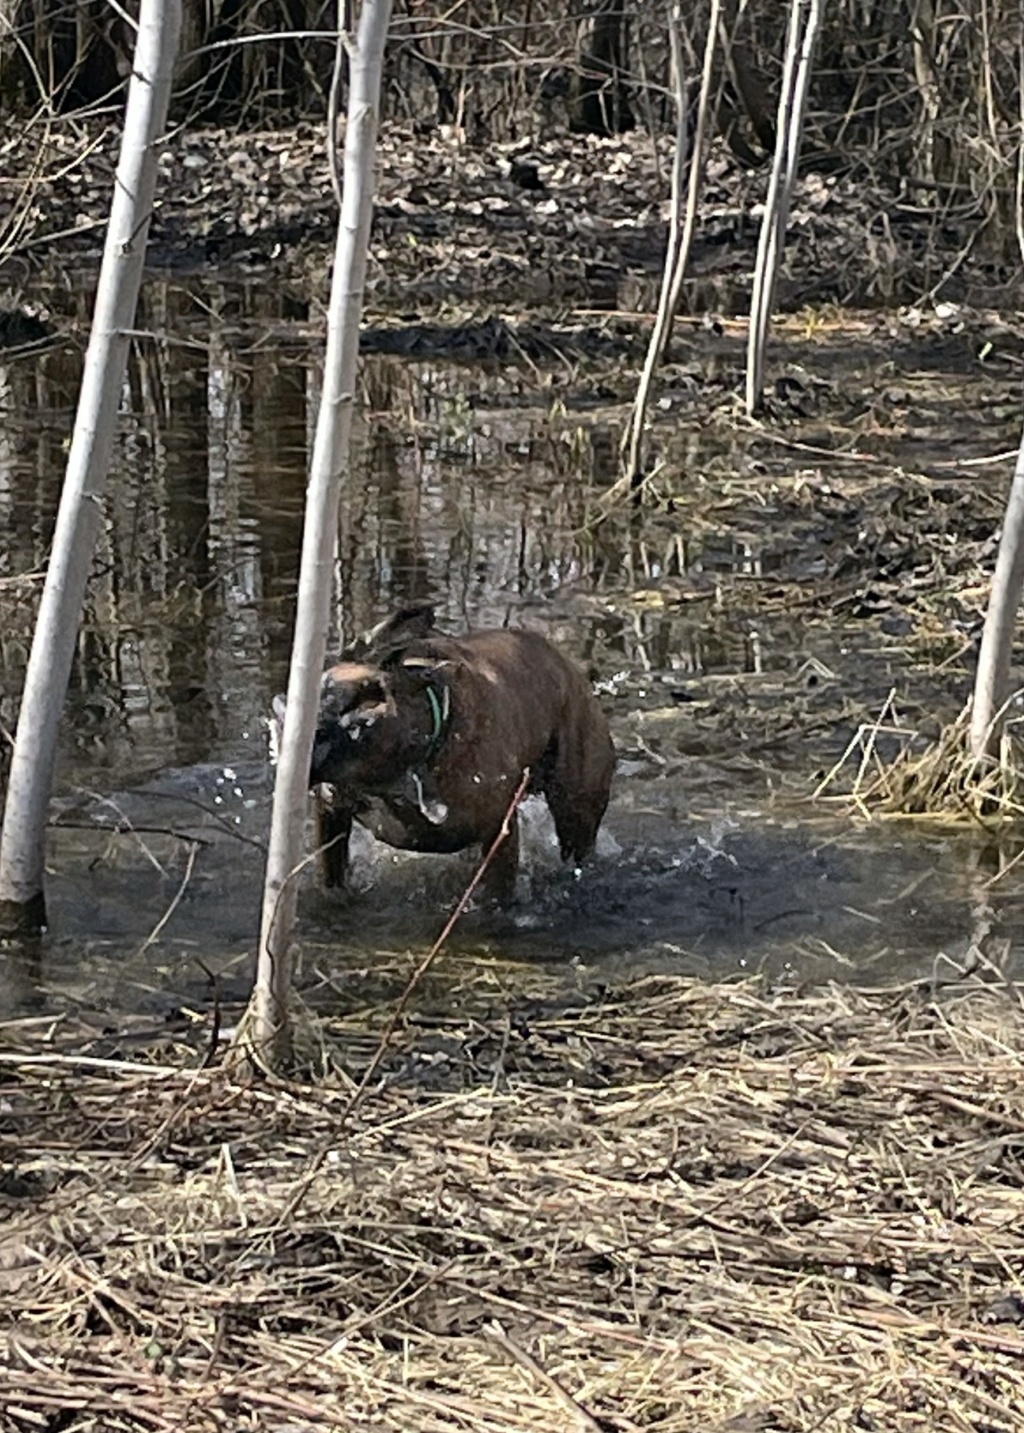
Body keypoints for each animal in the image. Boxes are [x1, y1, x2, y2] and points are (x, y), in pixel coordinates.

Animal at [307, 607, 612, 899]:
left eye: (363, 709)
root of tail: (575, 672)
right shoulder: (331, 814)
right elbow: (332, 877)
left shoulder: (498, 836)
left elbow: (495, 900)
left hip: (576, 812)